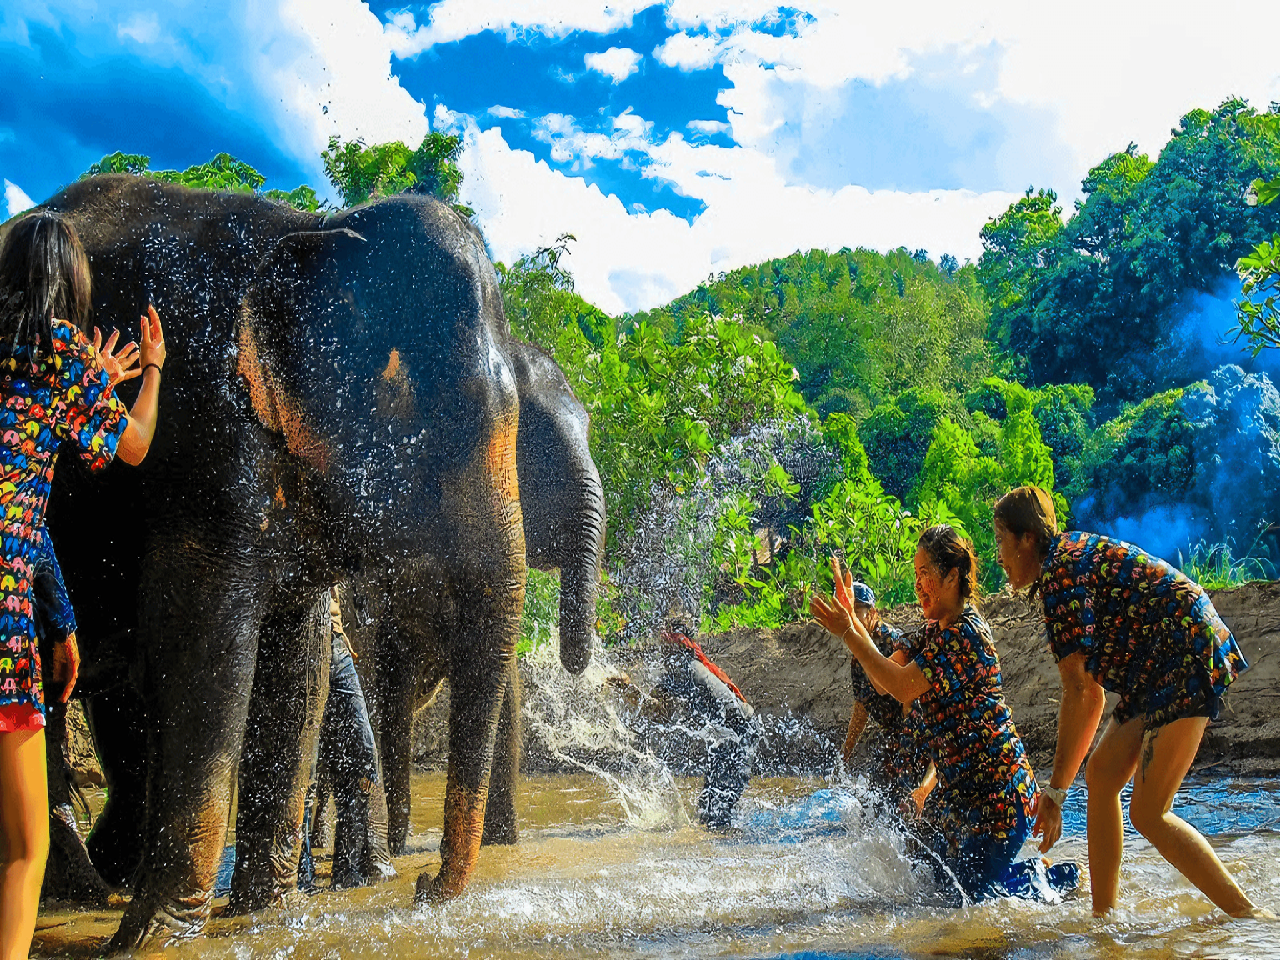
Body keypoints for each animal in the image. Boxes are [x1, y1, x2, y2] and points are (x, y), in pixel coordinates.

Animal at [18, 174, 585, 949]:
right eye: (452, 419)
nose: (425, 888)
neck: (316, 231)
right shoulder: (209, 439)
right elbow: (206, 642)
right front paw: (157, 939)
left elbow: (297, 655)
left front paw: (265, 915)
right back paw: (87, 888)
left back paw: (99, 881)